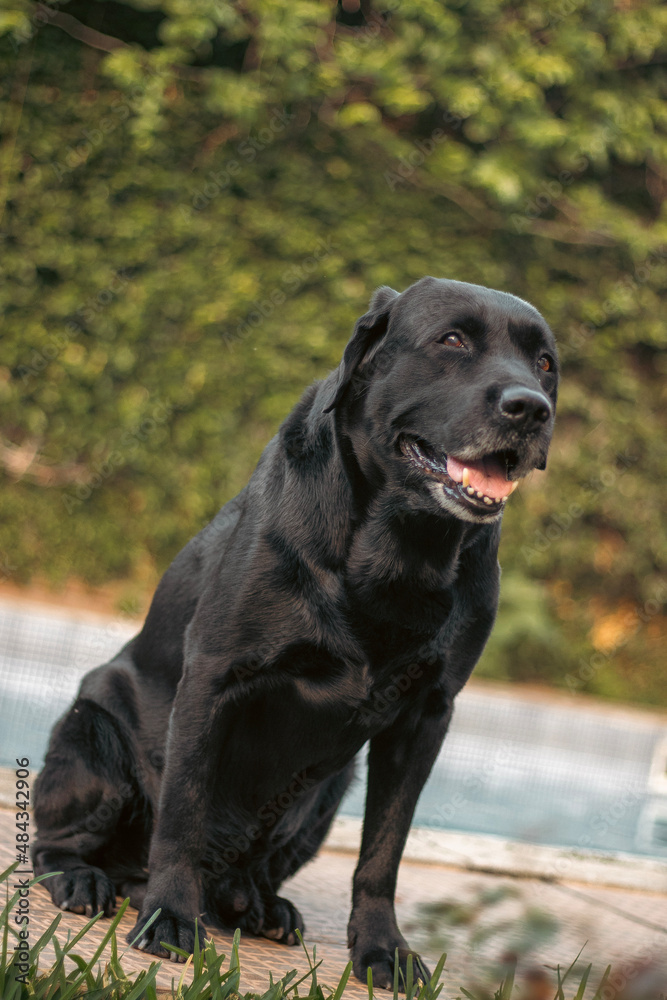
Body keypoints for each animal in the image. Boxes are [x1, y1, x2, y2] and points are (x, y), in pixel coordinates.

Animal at [35, 278, 560, 988]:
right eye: (453, 340)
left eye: (545, 364)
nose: (530, 408)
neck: (398, 550)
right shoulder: (216, 678)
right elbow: (183, 812)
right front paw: (170, 918)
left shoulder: (426, 716)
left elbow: (383, 854)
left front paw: (382, 949)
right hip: (92, 738)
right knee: (57, 843)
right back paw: (87, 882)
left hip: (326, 793)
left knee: (252, 867)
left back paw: (256, 903)